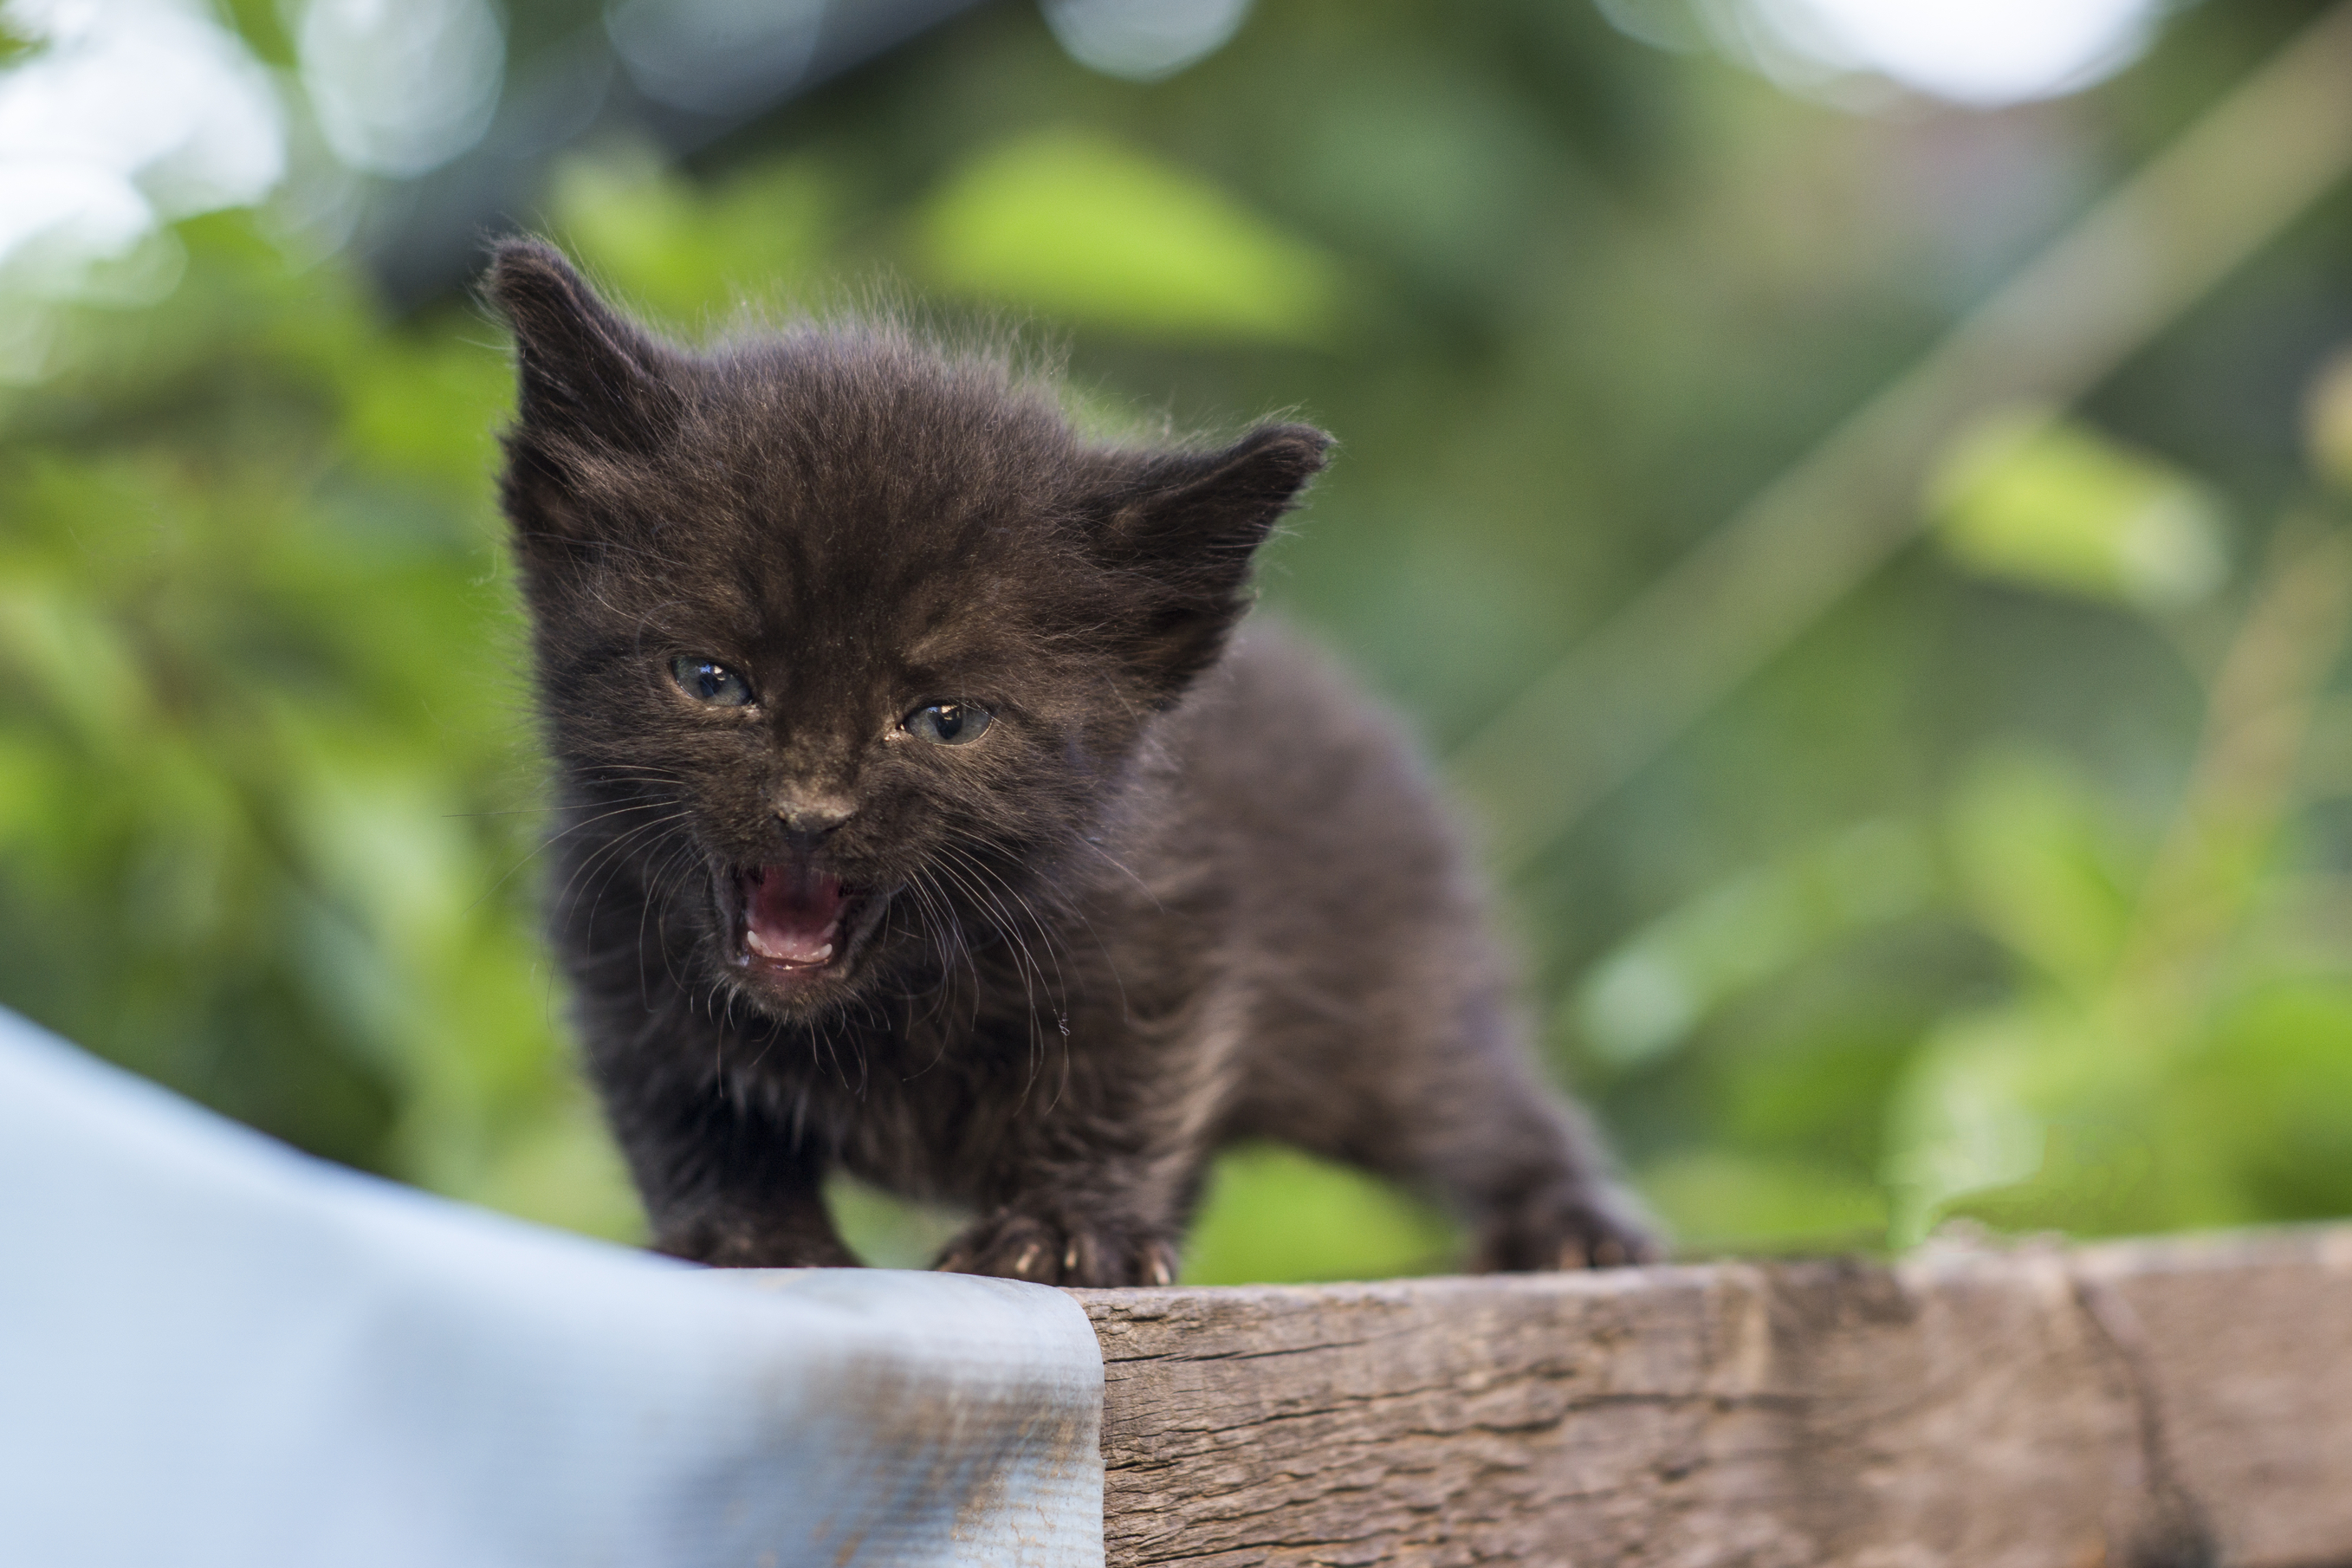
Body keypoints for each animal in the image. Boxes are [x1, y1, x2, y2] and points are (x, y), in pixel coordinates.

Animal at [484, 236, 1655, 1288]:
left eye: (947, 719)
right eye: (712, 678)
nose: (809, 812)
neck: (887, 999)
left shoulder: (1174, 924)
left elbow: (1125, 1081)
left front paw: (1063, 1231)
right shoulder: (613, 947)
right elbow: (684, 1113)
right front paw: (743, 1236)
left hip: (1386, 1003)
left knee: (1478, 1101)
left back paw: (1573, 1226)